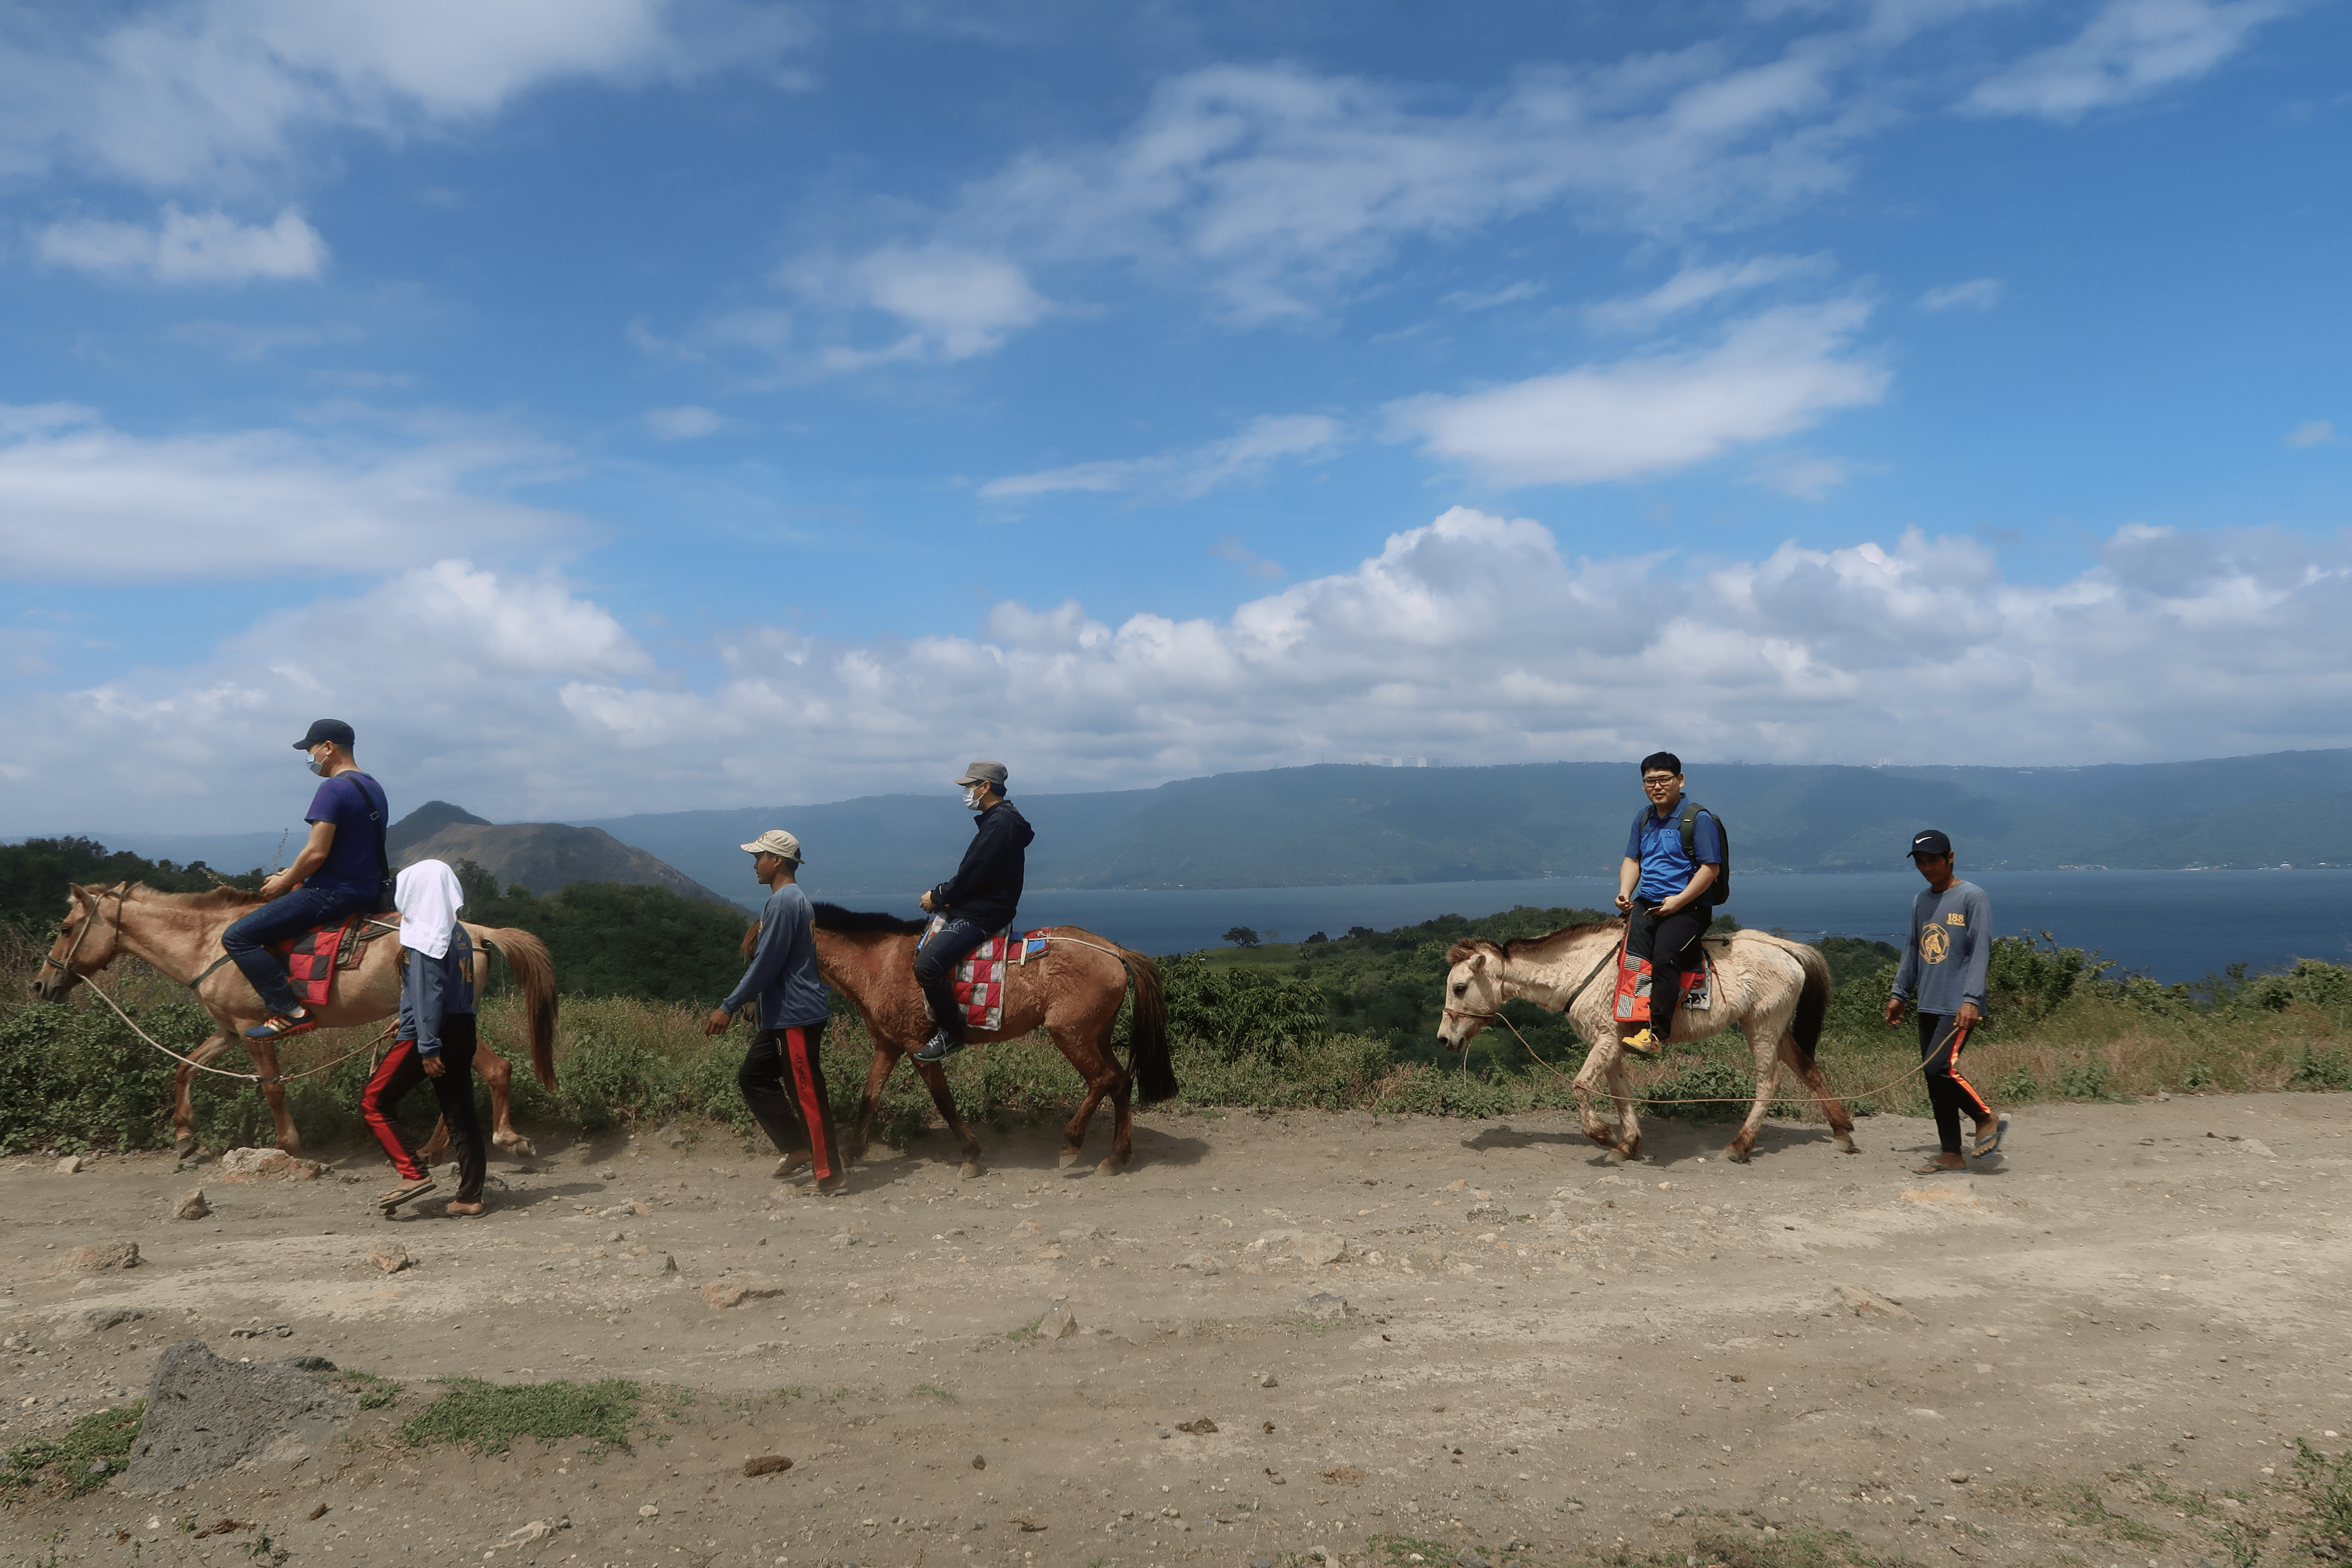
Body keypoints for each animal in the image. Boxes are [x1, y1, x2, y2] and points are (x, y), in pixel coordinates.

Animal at [762, 907, 1176, 1175]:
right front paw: (851, 1153)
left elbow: (944, 1102)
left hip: (1070, 1033)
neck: (881, 964)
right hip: (1096, 1035)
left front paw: (972, 1156)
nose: (756, 1007)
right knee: (1121, 1082)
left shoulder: (918, 1045)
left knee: (1103, 1080)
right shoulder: (889, 1045)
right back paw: (1116, 1157)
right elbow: (870, 1098)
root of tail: (1114, 951)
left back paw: (1071, 1143)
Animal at [1430, 921, 1853, 1166]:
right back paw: (1842, 1132)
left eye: (1460, 987)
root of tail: (1784, 948)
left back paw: (1741, 1145)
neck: (1578, 970)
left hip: (1762, 1026)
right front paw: (1627, 1143)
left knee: (1769, 1082)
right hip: (1773, 1026)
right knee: (1808, 1068)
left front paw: (1601, 1134)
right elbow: (1620, 1094)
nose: (1445, 1039)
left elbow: (1581, 1086)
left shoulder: (1604, 1040)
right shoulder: (1612, 1043)